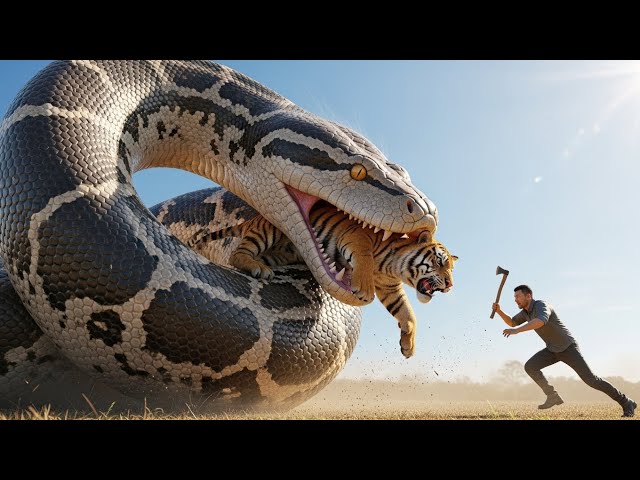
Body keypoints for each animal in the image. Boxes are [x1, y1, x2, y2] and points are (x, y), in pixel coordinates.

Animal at [191, 202, 458, 358]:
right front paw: (363, 289)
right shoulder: (357, 239)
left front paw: (408, 347)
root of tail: (253, 219)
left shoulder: (391, 289)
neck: (394, 268)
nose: (450, 285)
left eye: (451, 268)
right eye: (440, 262)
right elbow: (364, 259)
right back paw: (258, 269)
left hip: (280, 252)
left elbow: (408, 315)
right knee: (237, 253)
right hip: (268, 232)